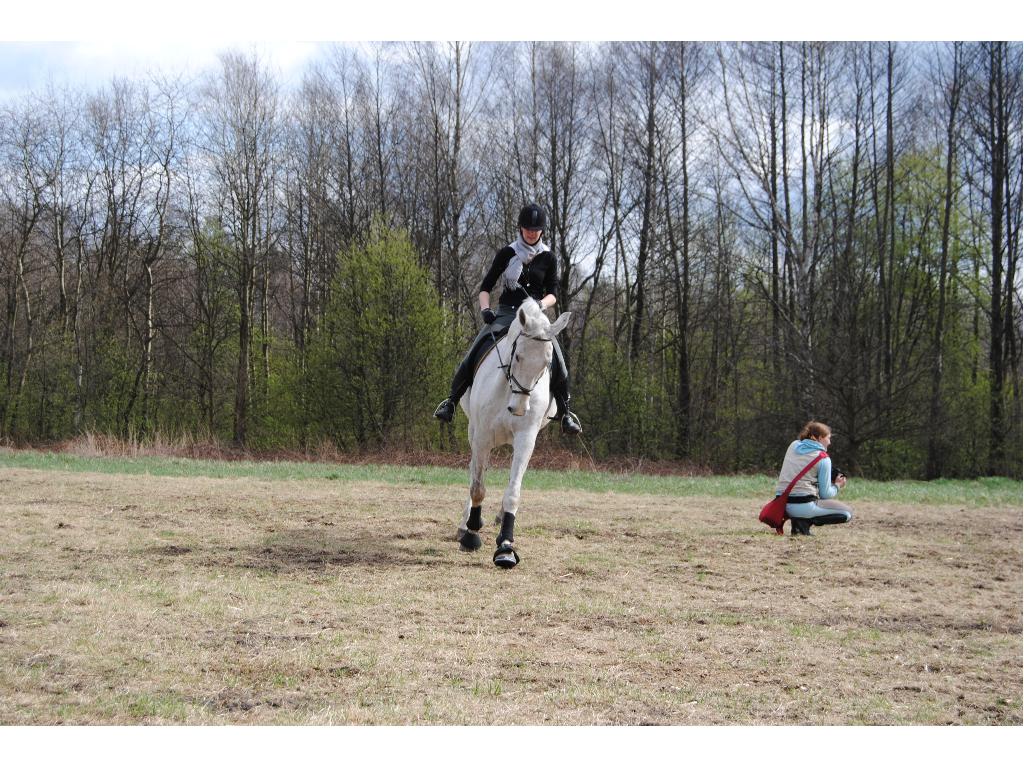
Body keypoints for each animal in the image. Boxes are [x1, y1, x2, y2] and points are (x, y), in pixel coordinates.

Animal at [454, 301, 569, 573]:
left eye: (547, 363)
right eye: (518, 356)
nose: (518, 408)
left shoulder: (526, 438)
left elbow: (513, 491)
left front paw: (505, 548)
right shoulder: (482, 437)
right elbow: (477, 487)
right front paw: (471, 535)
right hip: (473, 430)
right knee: (473, 471)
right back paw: (466, 525)